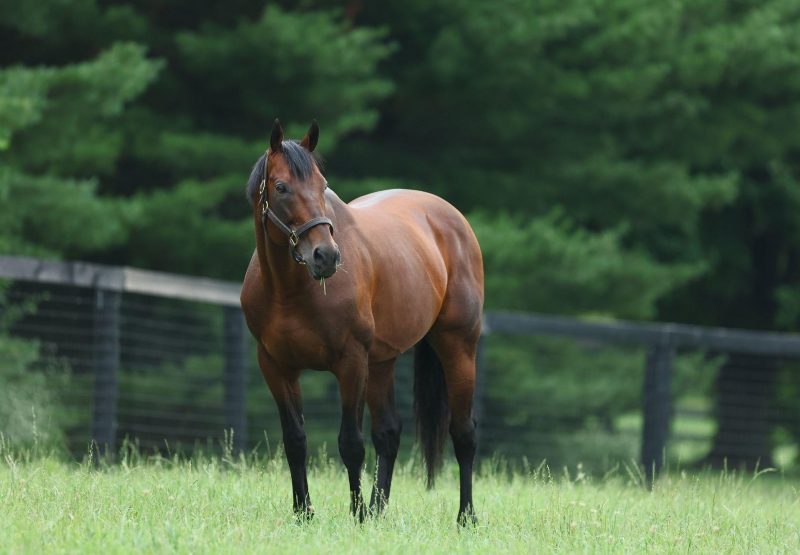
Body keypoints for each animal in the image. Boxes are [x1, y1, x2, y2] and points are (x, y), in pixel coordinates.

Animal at [241, 118, 484, 524]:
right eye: (281, 187)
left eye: (322, 185)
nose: (325, 256)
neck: (290, 292)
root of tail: (452, 219)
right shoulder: (275, 365)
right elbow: (295, 440)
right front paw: (304, 513)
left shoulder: (350, 362)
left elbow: (350, 443)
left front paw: (354, 515)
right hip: (382, 362)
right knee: (389, 433)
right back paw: (378, 510)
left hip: (458, 347)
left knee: (463, 433)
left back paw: (466, 517)